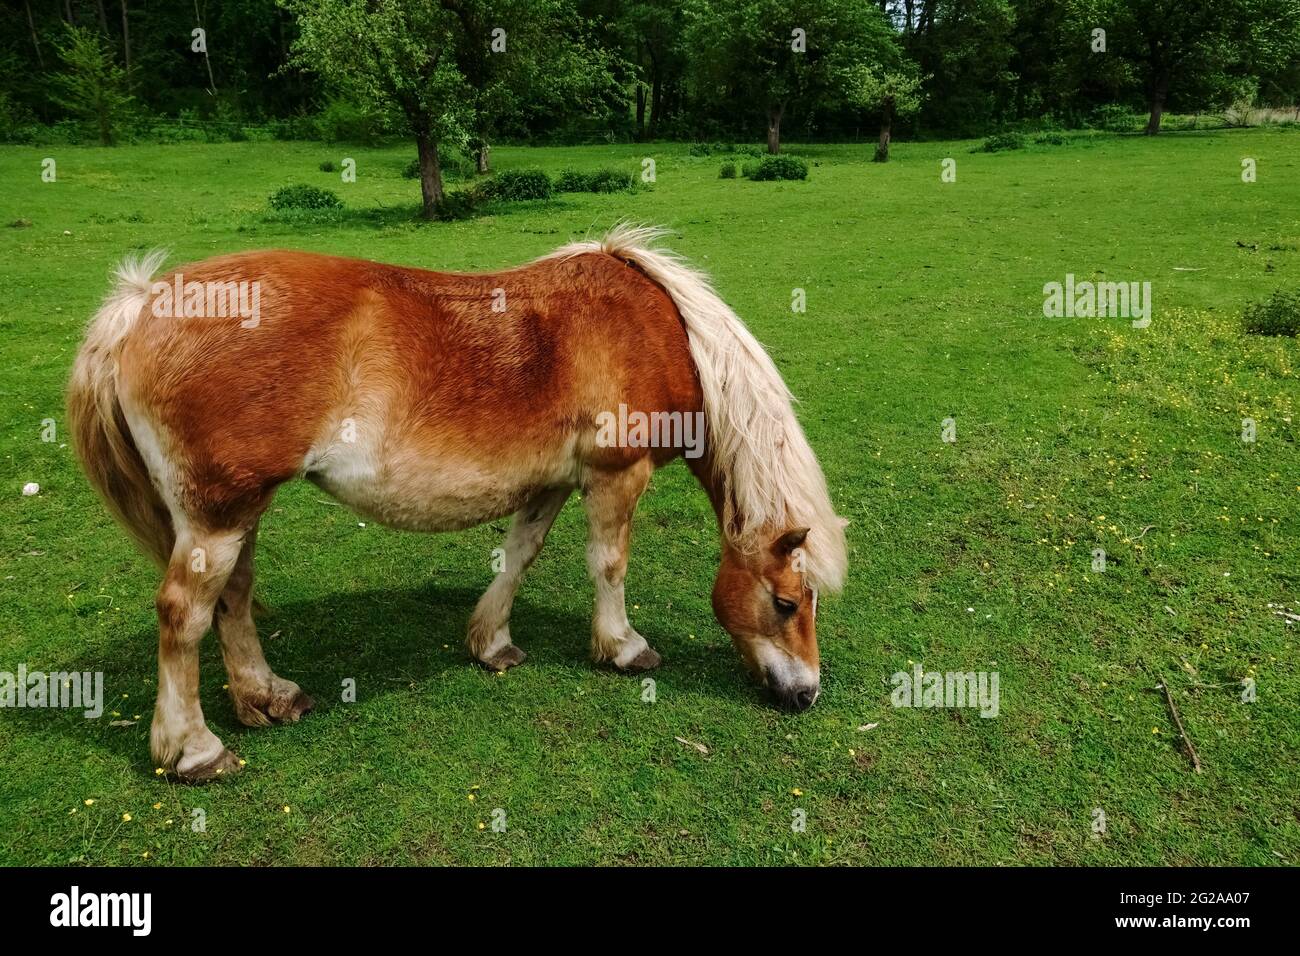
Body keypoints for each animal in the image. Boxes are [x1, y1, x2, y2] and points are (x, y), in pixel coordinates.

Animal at [68, 224, 848, 781]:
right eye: (786, 602)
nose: (807, 693)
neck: (662, 331)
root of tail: (141, 304)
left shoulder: (550, 482)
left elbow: (520, 554)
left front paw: (492, 642)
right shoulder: (614, 475)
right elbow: (608, 564)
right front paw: (622, 647)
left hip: (237, 513)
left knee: (232, 599)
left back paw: (269, 696)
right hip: (217, 516)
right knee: (184, 615)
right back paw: (194, 750)